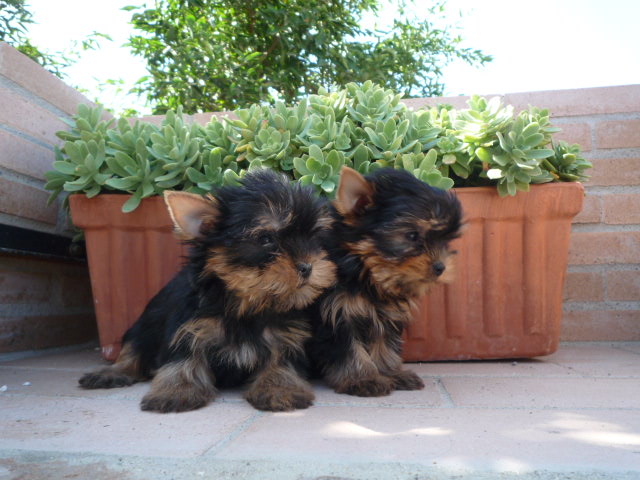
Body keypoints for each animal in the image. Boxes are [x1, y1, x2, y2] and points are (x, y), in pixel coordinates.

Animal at [79, 170, 336, 412]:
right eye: (266, 239)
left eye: (314, 238)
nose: (307, 267)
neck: (246, 304)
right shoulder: (188, 325)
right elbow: (184, 359)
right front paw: (177, 391)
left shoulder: (285, 334)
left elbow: (281, 361)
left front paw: (280, 388)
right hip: (146, 323)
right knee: (133, 348)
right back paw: (110, 372)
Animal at [308, 168, 462, 398]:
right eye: (412, 235)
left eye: (444, 240)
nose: (440, 267)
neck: (366, 274)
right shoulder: (337, 313)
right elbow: (349, 348)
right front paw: (363, 379)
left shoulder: (386, 314)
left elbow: (384, 344)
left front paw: (390, 373)